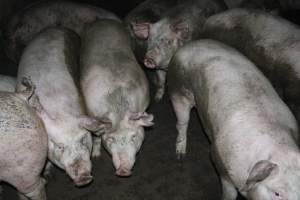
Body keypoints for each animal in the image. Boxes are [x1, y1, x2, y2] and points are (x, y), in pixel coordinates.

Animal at [16, 27, 108, 187]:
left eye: (82, 139)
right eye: (60, 146)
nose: (84, 177)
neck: (60, 112)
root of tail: (55, 28)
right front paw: (47, 174)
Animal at [80, 19, 154, 177]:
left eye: (133, 136)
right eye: (111, 139)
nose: (123, 171)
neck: (118, 108)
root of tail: (102, 20)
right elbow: (96, 136)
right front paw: (96, 156)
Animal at [168, 38, 300, 198]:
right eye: (277, 193)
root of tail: (191, 43)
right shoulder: (220, 161)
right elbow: (229, 192)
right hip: (177, 88)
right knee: (182, 122)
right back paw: (180, 155)